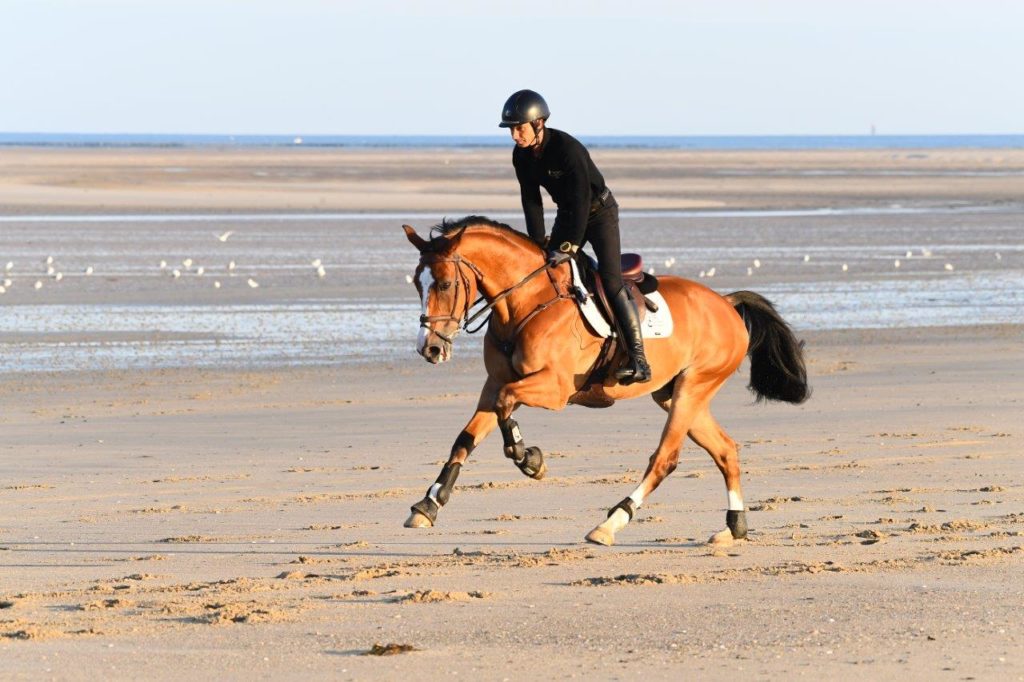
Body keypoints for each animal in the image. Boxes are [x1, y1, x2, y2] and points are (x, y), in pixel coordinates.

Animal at [399, 215, 806, 544]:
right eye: (417, 283)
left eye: (445, 284)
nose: (429, 348)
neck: (525, 303)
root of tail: (726, 303)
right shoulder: (494, 382)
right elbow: (466, 438)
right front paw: (428, 504)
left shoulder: (554, 388)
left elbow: (506, 404)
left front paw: (529, 459)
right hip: (673, 394)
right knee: (725, 449)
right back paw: (733, 527)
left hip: (694, 387)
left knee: (665, 458)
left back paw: (611, 523)